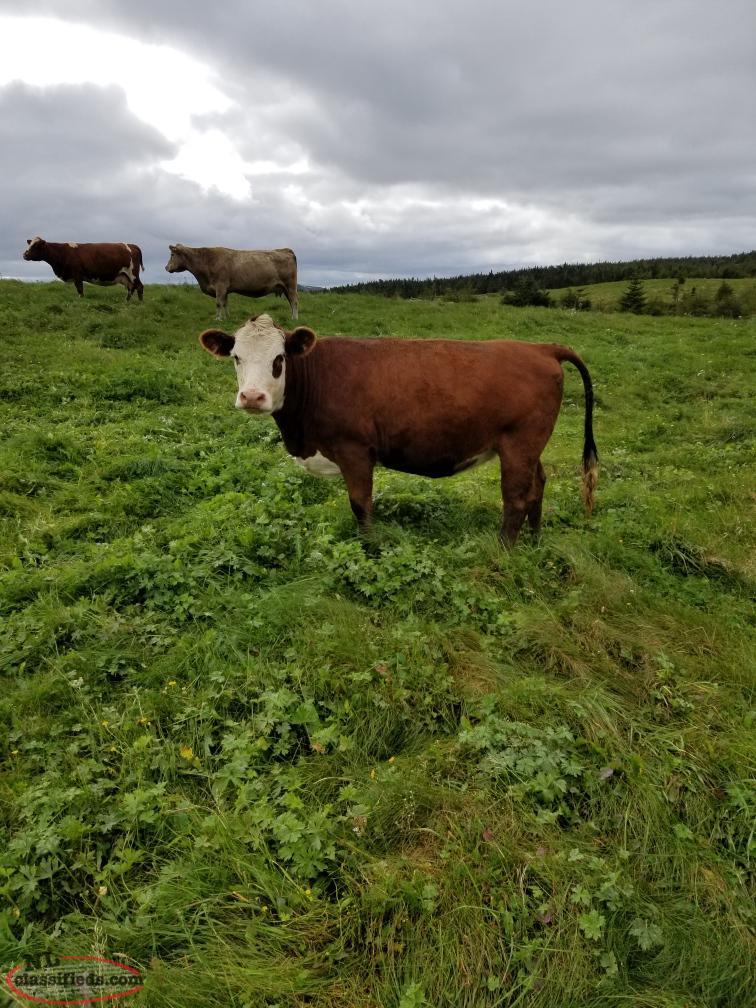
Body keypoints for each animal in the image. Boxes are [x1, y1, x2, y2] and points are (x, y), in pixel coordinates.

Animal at [165, 243, 298, 320]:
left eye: (172, 254)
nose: (166, 267)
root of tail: (286, 250)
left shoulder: (220, 286)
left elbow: (218, 303)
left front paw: (218, 319)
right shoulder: (225, 289)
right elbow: (225, 303)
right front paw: (227, 317)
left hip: (291, 286)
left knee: (294, 301)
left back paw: (294, 318)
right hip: (285, 288)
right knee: (291, 302)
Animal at [198, 315, 599, 546]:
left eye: (279, 359)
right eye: (236, 357)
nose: (252, 397)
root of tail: (542, 348)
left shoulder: (354, 450)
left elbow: (360, 504)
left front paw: (369, 549)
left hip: (519, 443)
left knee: (515, 498)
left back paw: (503, 551)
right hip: (530, 446)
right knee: (538, 485)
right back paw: (535, 539)